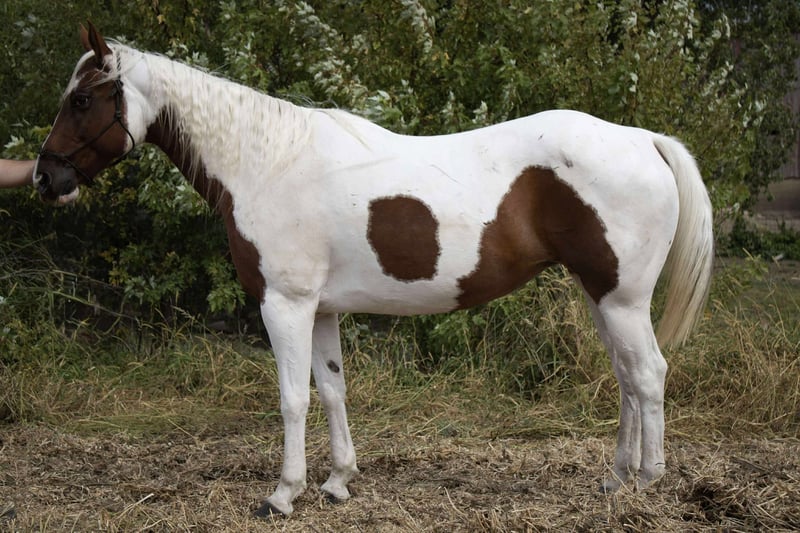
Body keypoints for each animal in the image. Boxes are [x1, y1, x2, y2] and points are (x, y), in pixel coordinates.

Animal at [34, 23, 713, 517]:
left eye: (83, 99)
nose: (46, 178)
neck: (266, 164)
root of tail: (643, 139)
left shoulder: (283, 305)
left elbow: (291, 399)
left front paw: (283, 494)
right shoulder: (320, 310)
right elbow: (332, 389)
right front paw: (338, 482)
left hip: (621, 300)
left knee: (647, 374)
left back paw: (647, 482)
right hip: (601, 296)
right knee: (626, 379)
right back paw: (615, 478)